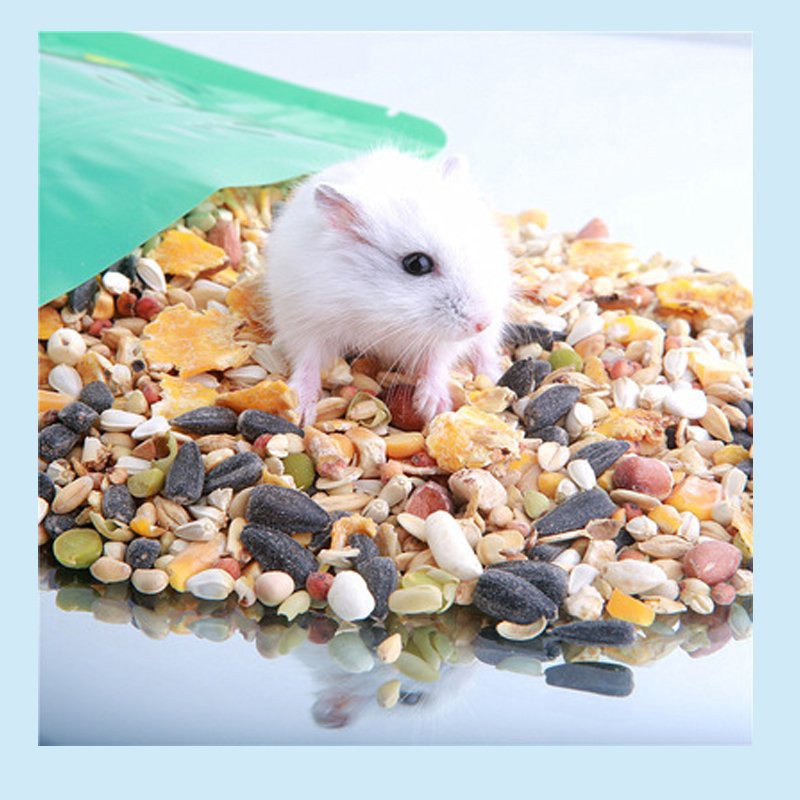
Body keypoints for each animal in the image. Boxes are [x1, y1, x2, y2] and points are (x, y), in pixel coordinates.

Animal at [264, 147, 512, 424]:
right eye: (417, 264)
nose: (483, 323)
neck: (379, 312)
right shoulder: (304, 320)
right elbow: (307, 360)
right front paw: (298, 412)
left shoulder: (445, 341)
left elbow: (436, 361)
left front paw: (434, 407)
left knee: (484, 349)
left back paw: (493, 376)